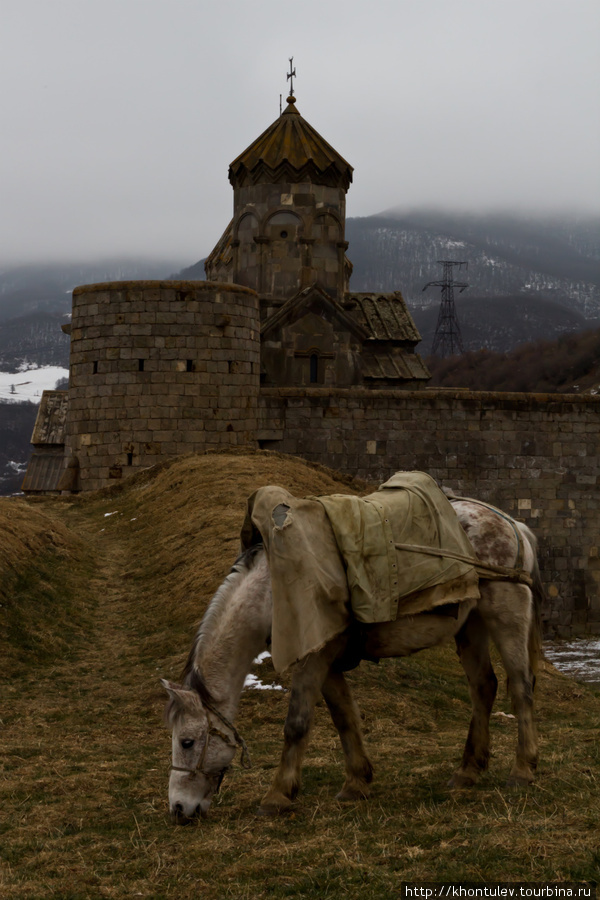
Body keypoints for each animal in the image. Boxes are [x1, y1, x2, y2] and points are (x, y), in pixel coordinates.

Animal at [161, 492, 544, 824]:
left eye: (187, 741)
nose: (178, 808)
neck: (271, 592)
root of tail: (511, 523)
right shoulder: (326, 662)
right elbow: (344, 717)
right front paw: (357, 782)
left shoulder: (312, 660)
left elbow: (296, 724)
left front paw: (277, 796)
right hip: (470, 625)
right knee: (484, 687)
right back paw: (467, 770)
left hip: (506, 613)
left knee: (521, 687)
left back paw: (523, 769)